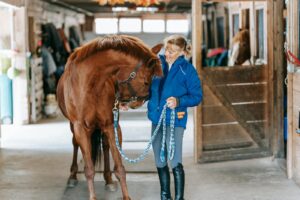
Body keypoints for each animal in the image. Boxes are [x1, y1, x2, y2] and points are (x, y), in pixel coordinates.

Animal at [57, 34, 163, 200]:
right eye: (146, 81)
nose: (140, 101)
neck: (91, 84)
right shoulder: (80, 128)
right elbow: (89, 169)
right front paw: (92, 197)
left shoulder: (110, 125)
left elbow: (119, 167)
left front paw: (126, 196)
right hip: (73, 126)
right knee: (75, 143)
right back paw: (73, 176)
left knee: (105, 146)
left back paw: (108, 179)